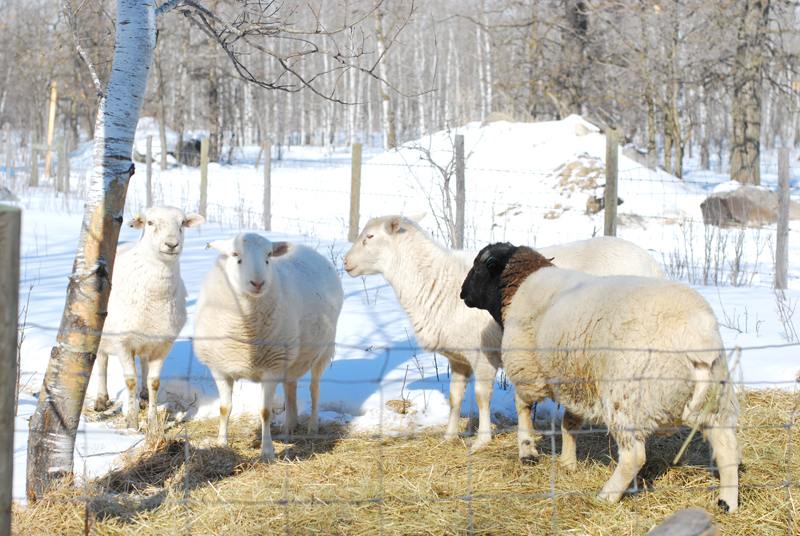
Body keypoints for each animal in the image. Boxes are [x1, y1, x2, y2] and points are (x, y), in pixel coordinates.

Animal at [95, 206, 205, 432]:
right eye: (150, 222)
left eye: (182, 223)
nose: (171, 244)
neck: (155, 295)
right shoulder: (122, 341)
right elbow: (130, 381)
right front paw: (131, 422)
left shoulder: (164, 343)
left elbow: (154, 382)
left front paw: (153, 424)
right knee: (102, 361)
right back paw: (101, 400)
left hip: (147, 339)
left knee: (144, 363)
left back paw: (144, 398)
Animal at [193, 233, 343, 459]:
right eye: (234, 254)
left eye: (269, 256)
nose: (258, 282)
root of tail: (309, 250)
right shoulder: (219, 367)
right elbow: (224, 408)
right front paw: (221, 443)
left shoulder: (271, 368)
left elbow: (265, 411)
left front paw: (267, 451)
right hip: (290, 358)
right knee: (290, 386)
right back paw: (290, 425)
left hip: (323, 351)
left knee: (314, 390)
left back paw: (312, 427)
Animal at [343, 214, 664, 452]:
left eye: (370, 237)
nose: (345, 263)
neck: (435, 281)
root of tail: (653, 265)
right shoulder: (457, 358)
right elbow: (455, 398)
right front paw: (449, 436)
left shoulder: (482, 354)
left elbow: (482, 397)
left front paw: (481, 440)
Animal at [460, 243, 739, 512]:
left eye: (478, 267)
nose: (462, 293)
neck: (520, 284)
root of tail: (698, 338)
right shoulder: (577, 380)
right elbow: (570, 423)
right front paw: (568, 462)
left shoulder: (528, 369)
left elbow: (523, 406)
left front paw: (527, 450)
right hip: (716, 401)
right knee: (727, 448)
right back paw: (727, 503)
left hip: (627, 400)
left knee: (633, 456)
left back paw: (607, 496)